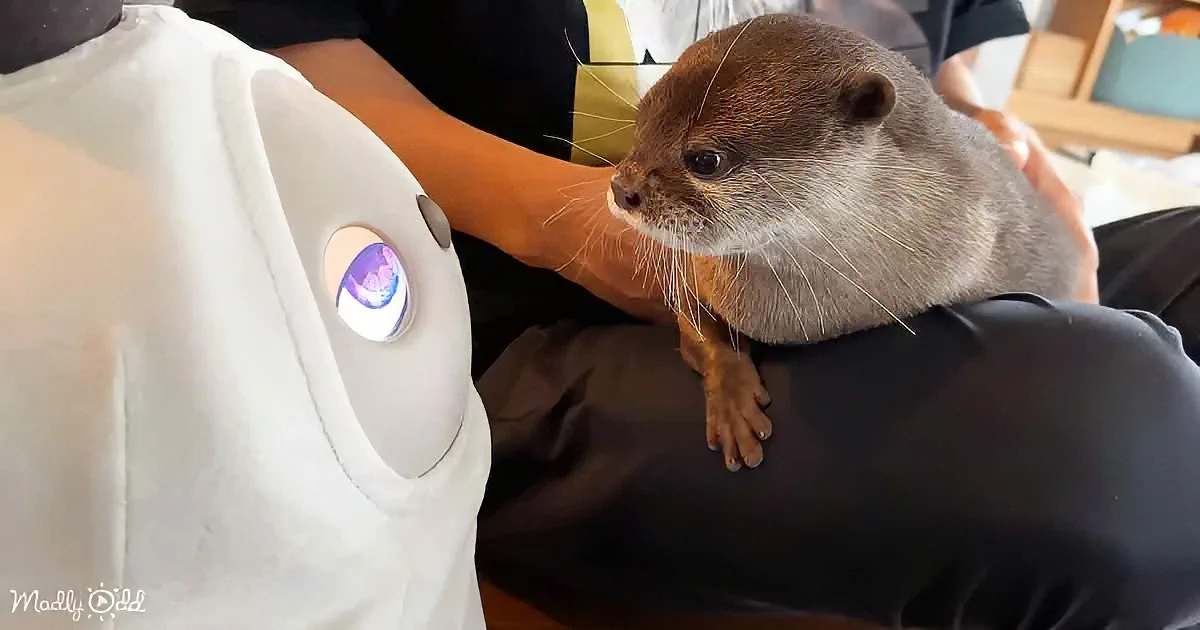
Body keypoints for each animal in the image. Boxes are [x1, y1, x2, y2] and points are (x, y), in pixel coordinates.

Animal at [606, 14, 1083, 472]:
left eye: (705, 160)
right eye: (639, 125)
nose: (621, 188)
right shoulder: (695, 273)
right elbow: (696, 324)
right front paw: (732, 401)